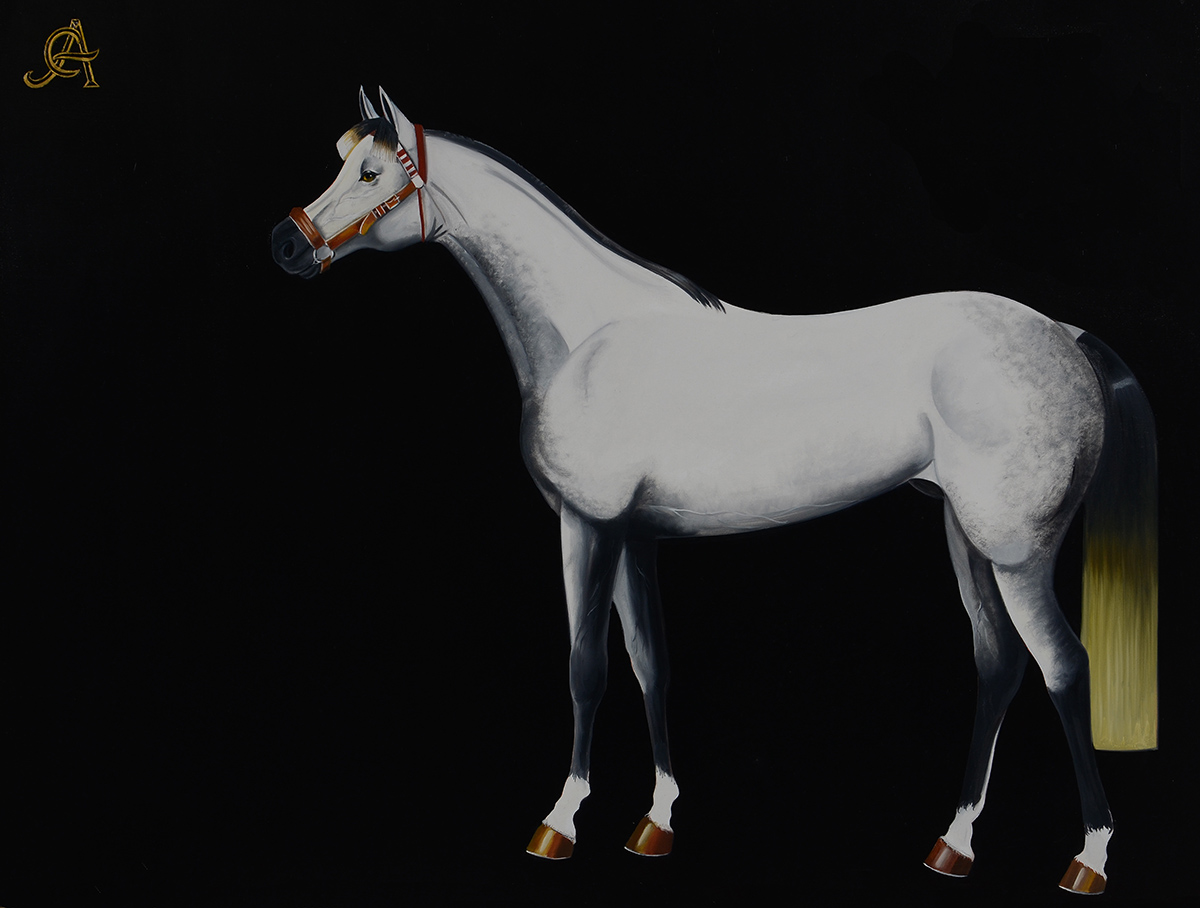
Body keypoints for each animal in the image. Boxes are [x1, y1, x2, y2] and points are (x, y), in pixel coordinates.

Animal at [272, 87, 1157, 895]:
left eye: (373, 171)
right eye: (344, 160)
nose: (286, 243)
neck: (587, 338)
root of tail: (1063, 335)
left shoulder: (587, 526)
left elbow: (587, 668)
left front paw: (558, 824)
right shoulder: (634, 537)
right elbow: (650, 664)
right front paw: (655, 824)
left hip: (1017, 554)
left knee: (1063, 667)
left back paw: (1088, 860)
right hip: (967, 539)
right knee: (999, 666)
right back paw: (953, 846)